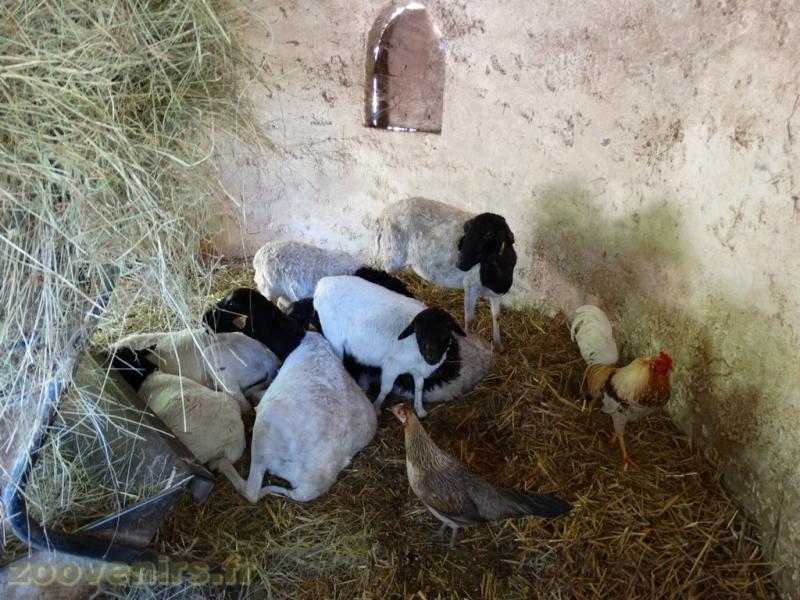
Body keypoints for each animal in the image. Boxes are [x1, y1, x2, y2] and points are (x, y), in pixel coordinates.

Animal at [202, 288, 377, 503]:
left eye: (231, 305)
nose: (204, 319)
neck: (296, 341)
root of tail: (314, 482)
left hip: (265, 433)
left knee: (252, 491)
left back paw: (219, 464)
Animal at [313, 275, 466, 418]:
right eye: (418, 333)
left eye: (445, 332)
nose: (431, 357)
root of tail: (322, 284)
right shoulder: (392, 367)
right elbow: (386, 389)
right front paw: (376, 407)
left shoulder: (417, 370)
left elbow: (419, 387)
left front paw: (419, 409)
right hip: (334, 337)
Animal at [376, 197, 517, 351]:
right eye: (466, 231)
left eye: (489, 234)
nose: (460, 263)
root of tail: (385, 213)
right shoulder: (470, 286)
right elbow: (470, 320)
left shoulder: (496, 293)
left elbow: (496, 316)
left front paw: (499, 345)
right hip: (393, 255)